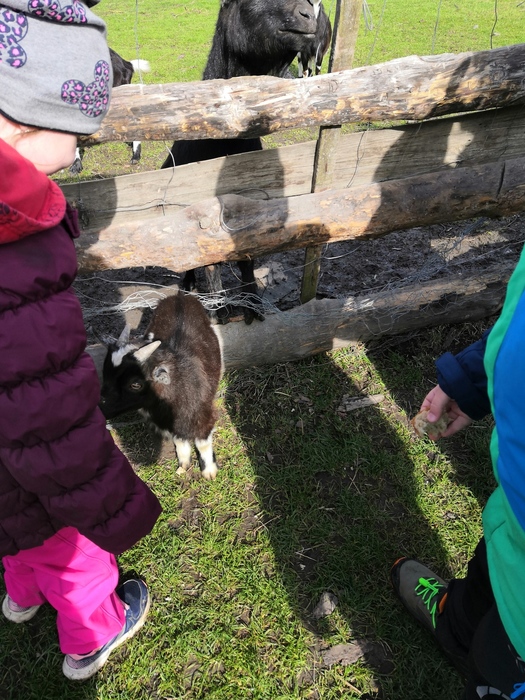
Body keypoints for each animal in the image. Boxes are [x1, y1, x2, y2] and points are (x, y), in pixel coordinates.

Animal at [99, 292, 224, 481]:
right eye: (105, 373)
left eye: (135, 384)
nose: (101, 409)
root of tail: (180, 296)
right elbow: (179, 439)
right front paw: (183, 464)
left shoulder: (203, 416)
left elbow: (202, 442)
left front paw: (209, 471)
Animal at [161, 0, 322, 326]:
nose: (307, 15)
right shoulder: (203, 217)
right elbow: (210, 266)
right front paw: (219, 314)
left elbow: (247, 258)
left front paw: (253, 309)